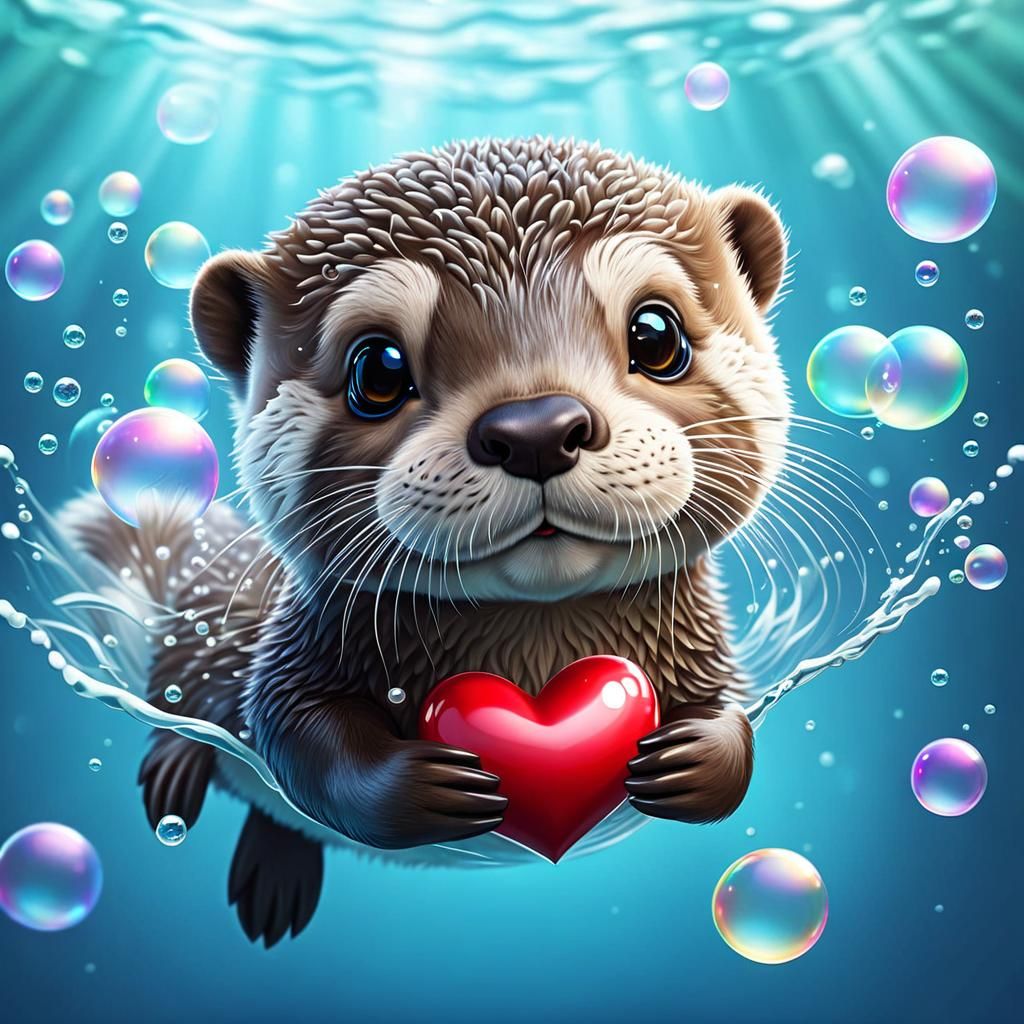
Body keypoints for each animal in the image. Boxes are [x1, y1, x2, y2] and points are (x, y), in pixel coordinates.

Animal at [62, 137, 790, 946]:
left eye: (656, 335)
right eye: (377, 368)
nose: (536, 429)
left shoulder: (706, 658)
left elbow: (734, 719)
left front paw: (697, 756)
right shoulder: (292, 659)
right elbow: (296, 738)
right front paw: (423, 784)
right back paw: (180, 778)